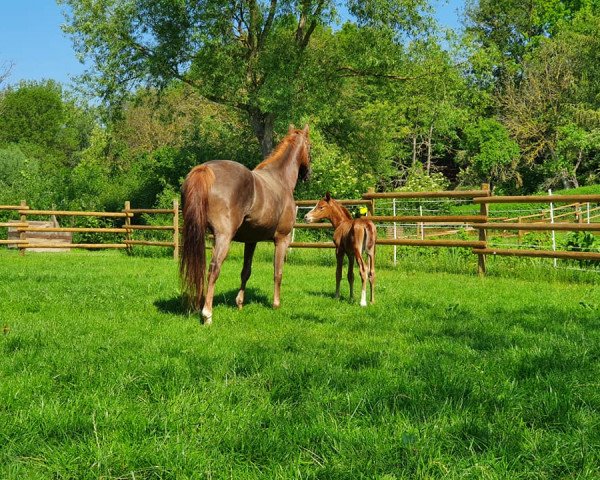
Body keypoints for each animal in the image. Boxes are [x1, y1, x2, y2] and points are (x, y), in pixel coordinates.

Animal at [180, 125, 312, 324]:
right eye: (310, 147)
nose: (308, 174)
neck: (279, 178)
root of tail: (205, 169)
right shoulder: (282, 239)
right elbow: (278, 272)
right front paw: (276, 304)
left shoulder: (251, 241)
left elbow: (246, 271)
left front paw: (240, 303)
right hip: (223, 237)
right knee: (214, 269)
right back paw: (207, 314)